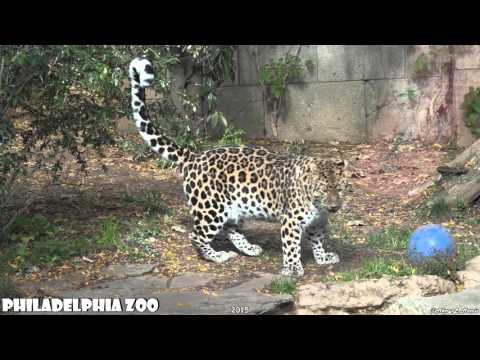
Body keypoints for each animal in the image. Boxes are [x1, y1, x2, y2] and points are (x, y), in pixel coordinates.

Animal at [127, 57, 346, 276]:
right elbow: (291, 244)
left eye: (341, 188)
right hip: (211, 208)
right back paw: (217, 256)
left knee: (231, 230)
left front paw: (323, 258)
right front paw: (292, 268)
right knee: (197, 236)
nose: (335, 206)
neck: (317, 205)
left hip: (234, 207)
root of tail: (194, 156)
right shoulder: (291, 219)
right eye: (323, 189)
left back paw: (249, 249)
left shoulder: (318, 222)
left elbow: (317, 240)